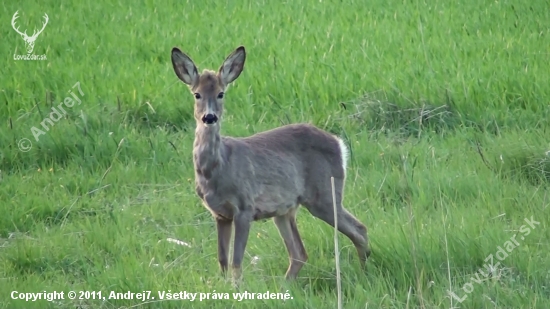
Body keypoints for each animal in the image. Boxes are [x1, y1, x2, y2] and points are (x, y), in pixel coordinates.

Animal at [170, 44, 374, 286]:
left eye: (221, 93)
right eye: (197, 94)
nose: (209, 117)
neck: (217, 170)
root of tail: (339, 144)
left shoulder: (245, 207)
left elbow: (236, 261)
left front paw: (236, 289)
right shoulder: (219, 214)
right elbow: (222, 260)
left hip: (324, 193)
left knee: (359, 229)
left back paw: (364, 273)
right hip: (285, 210)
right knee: (299, 253)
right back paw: (287, 284)